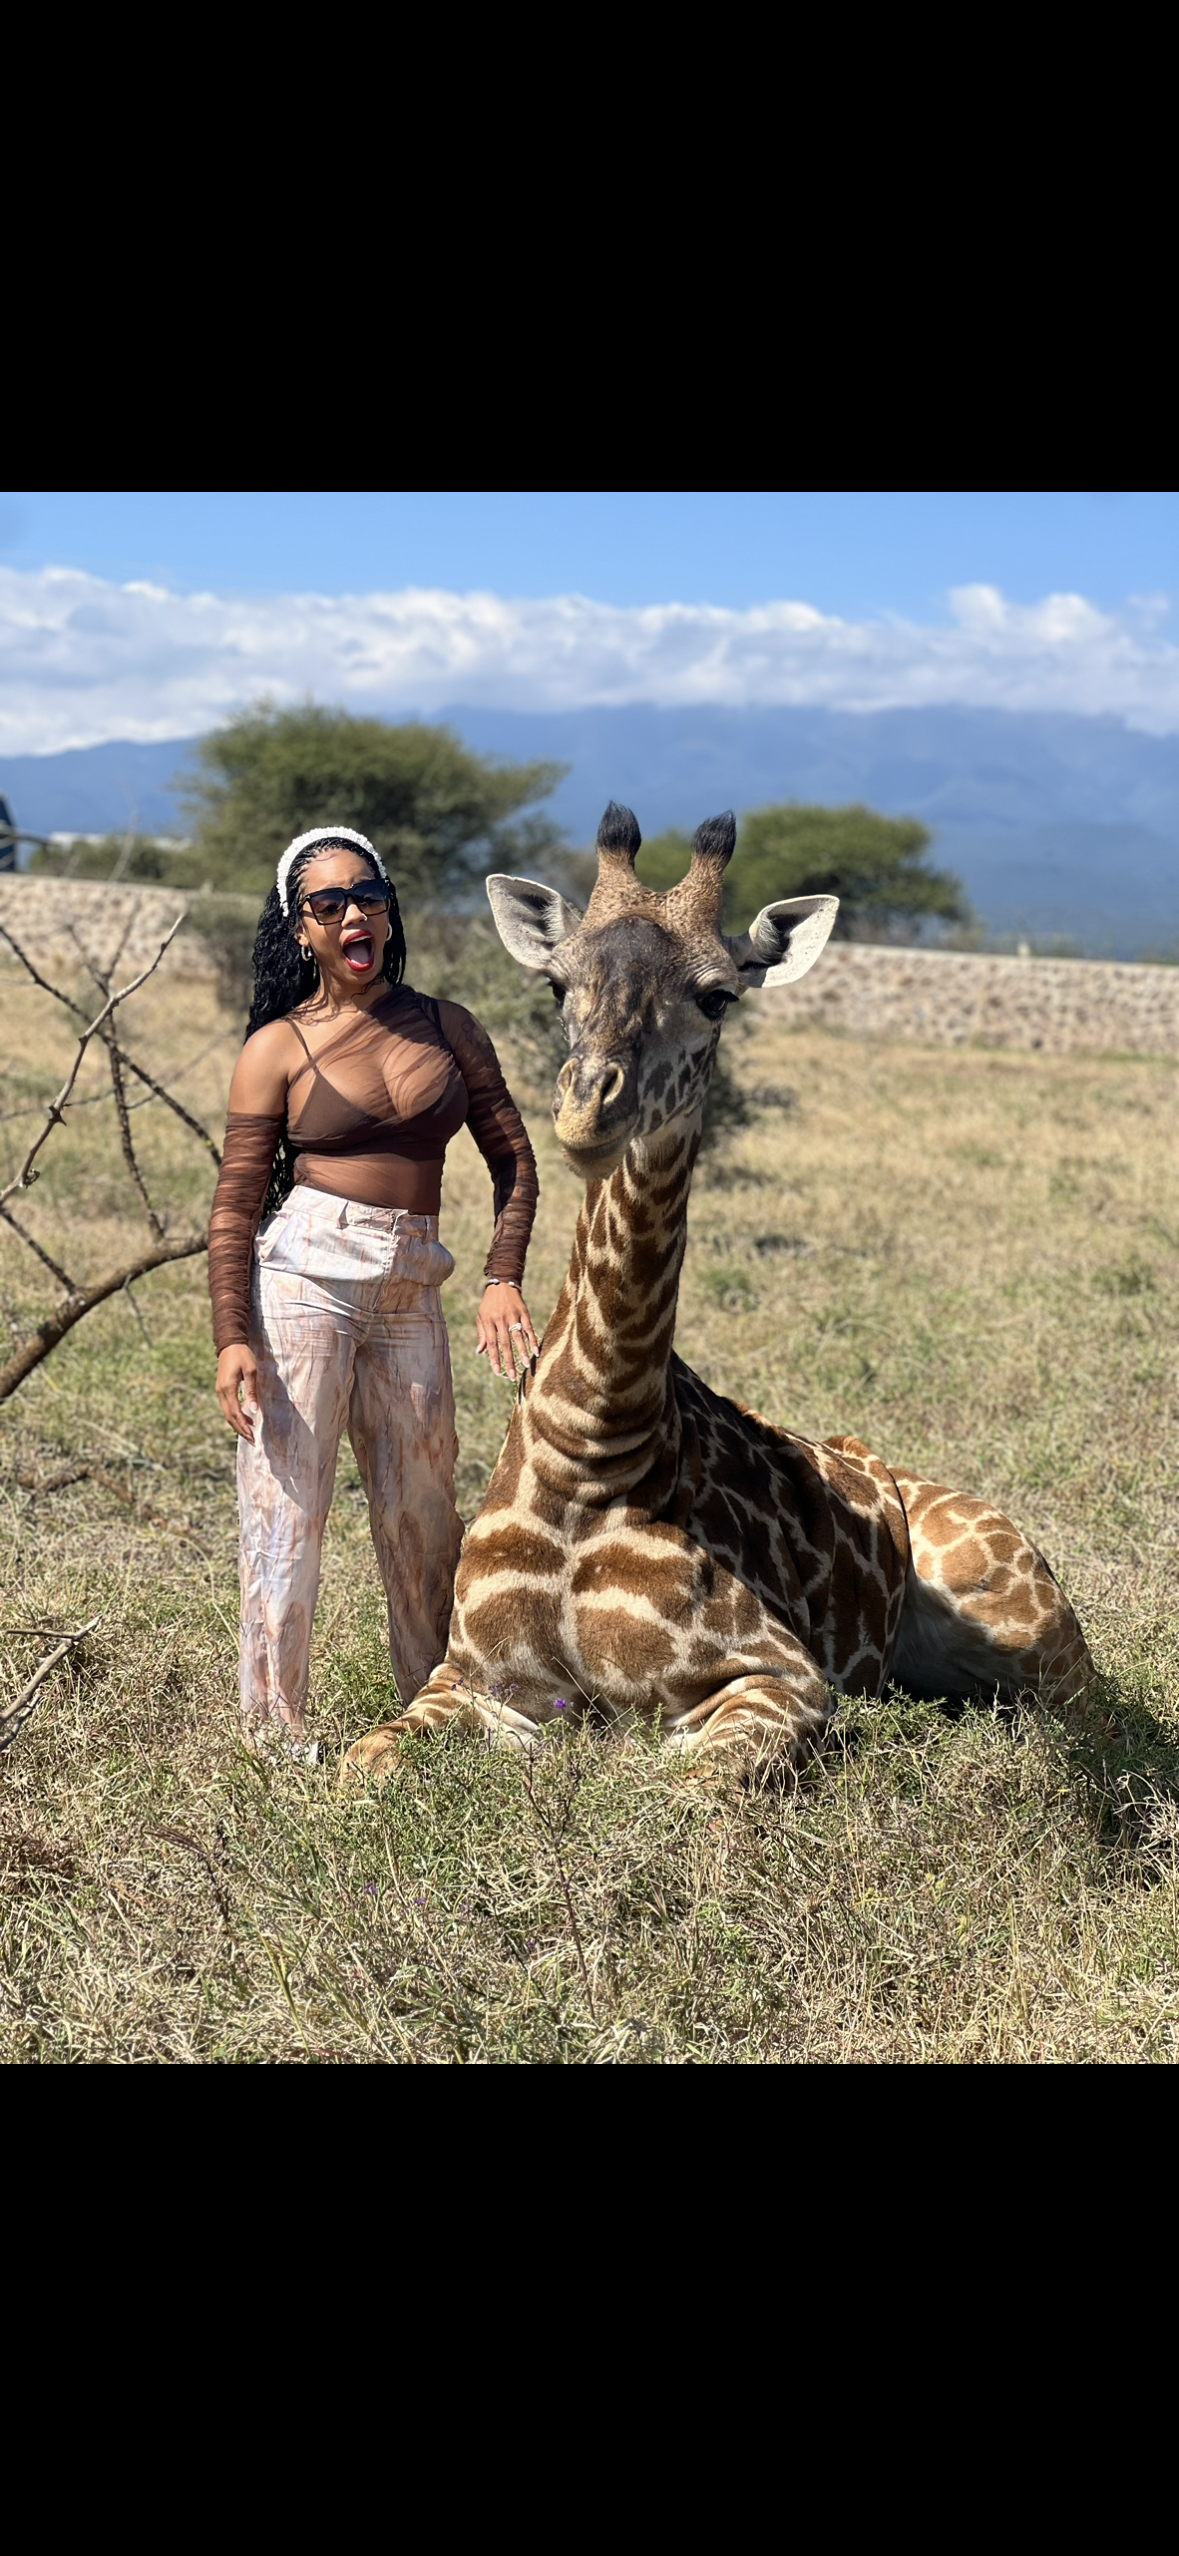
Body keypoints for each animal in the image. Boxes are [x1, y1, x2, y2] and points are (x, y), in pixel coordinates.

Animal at [344, 804, 1093, 1781]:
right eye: (554, 985)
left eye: (717, 996)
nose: (586, 1115)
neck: (592, 1443)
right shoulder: (470, 1678)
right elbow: (358, 1766)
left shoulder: (778, 1675)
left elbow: (693, 1788)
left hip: (1028, 1630)